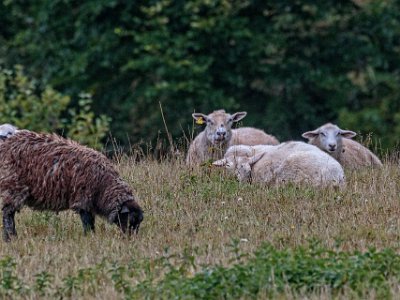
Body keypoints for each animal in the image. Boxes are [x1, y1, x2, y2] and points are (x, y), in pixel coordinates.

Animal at [0, 129, 144, 241]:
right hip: (12, 187)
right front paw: (90, 237)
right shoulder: (83, 199)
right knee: (8, 214)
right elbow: (88, 222)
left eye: (139, 222)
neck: (103, 186)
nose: (131, 239)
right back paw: (11, 237)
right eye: (130, 220)